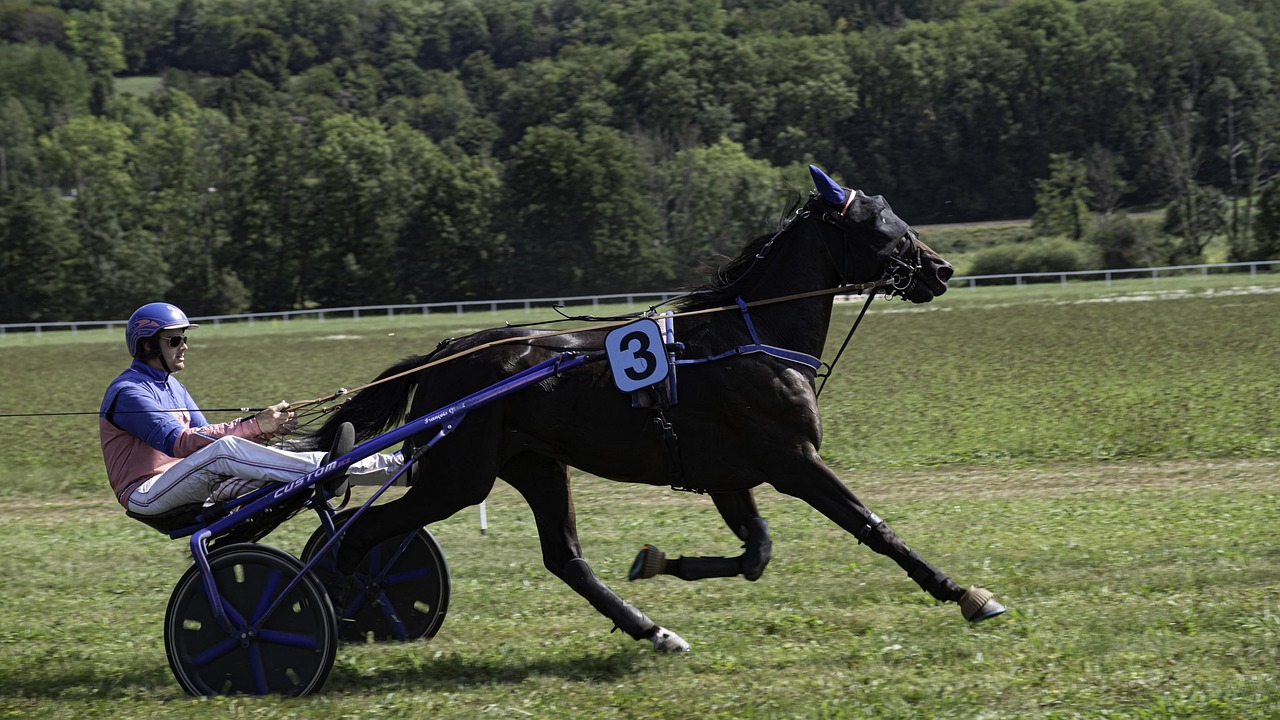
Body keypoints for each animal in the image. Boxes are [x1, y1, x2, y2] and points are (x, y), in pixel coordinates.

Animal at [307, 165, 1005, 652]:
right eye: (882, 224)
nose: (942, 269)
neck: (749, 335)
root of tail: (448, 351)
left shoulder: (730, 474)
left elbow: (756, 554)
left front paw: (659, 561)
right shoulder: (793, 460)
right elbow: (874, 528)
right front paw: (964, 593)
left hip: (536, 465)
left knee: (565, 558)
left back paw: (654, 632)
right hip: (457, 477)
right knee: (358, 532)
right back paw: (331, 604)